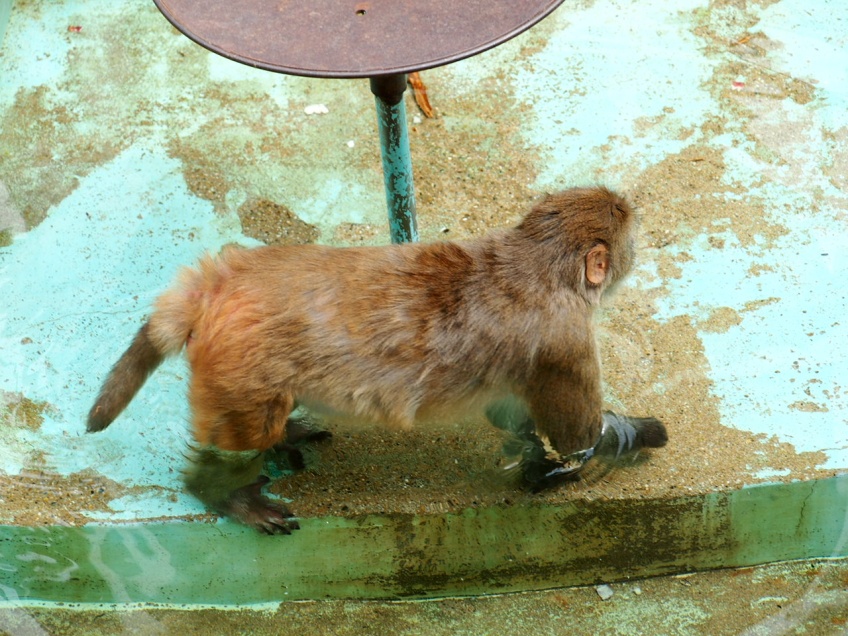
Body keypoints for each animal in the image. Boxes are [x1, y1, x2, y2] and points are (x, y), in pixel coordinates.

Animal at [86, 186, 667, 534]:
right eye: (629, 233)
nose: (640, 242)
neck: (535, 263)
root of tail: (219, 282)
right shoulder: (567, 338)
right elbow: (578, 438)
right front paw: (629, 437)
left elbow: (509, 410)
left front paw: (528, 449)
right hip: (240, 369)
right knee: (245, 432)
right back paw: (223, 492)